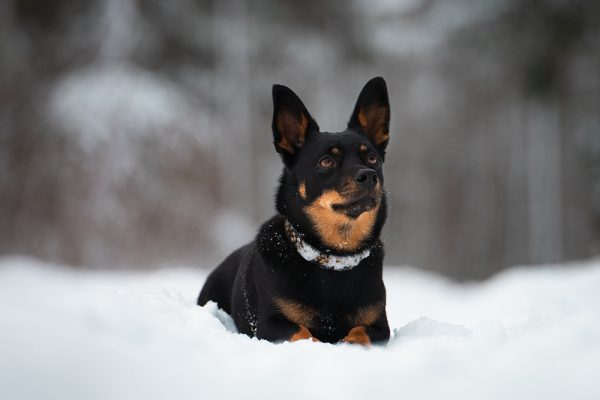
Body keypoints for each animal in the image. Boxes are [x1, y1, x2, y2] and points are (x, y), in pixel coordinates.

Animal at [199, 77, 392, 344]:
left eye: (372, 158)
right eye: (326, 161)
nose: (369, 176)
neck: (333, 259)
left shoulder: (380, 325)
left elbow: (360, 332)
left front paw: (348, 344)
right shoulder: (271, 325)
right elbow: (304, 334)